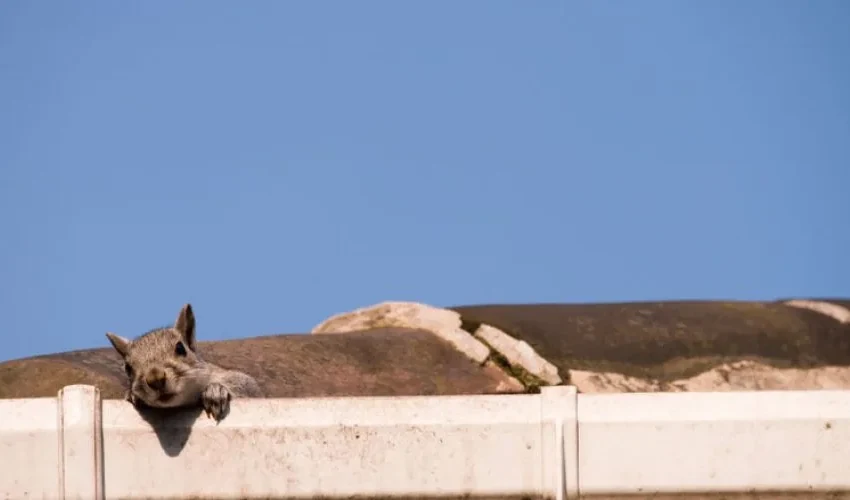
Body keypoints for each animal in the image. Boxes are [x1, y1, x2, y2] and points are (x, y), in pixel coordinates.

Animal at [105, 303, 264, 422]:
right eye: (127, 368)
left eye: (180, 348)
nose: (155, 379)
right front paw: (132, 395)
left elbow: (248, 387)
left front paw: (216, 390)